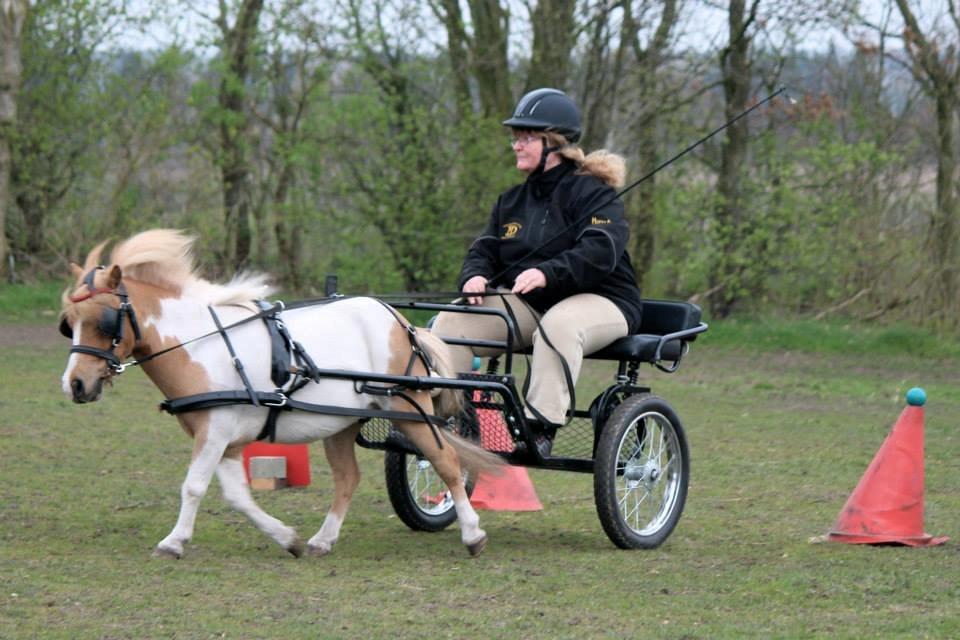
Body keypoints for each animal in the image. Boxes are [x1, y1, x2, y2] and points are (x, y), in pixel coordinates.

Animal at [60, 229, 496, 556]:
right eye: (69, 323)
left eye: (104, 321)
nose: (75, 384)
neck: (200, 346)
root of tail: (401, 321)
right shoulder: (227, 439)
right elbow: (237, 495)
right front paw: (287, 538)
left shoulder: (214, 433)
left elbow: (194, 486)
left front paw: (173, 542)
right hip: (342, 422)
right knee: (348, 477)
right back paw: (323, 539)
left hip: (409, 405)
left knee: (445, 461)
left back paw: (473, 534)